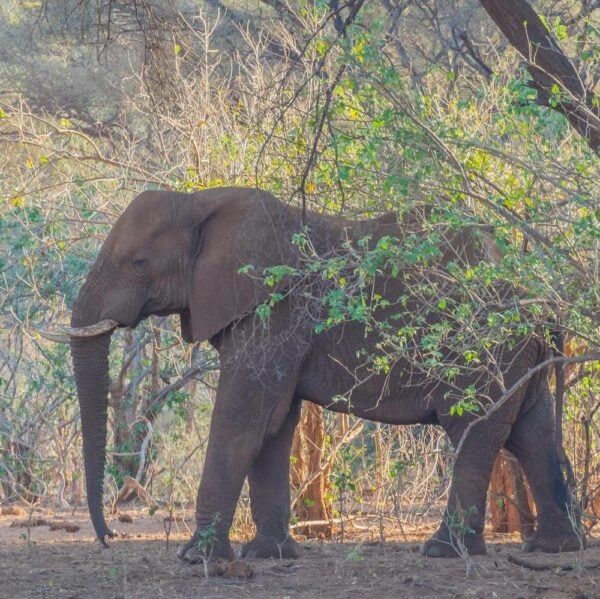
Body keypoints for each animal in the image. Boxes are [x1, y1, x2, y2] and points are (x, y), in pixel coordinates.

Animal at [52, 188, 580, 564]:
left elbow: (244, 421)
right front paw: (268, 556)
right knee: (531, 432)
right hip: (518, 358)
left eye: (138, 262)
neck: (201, 200)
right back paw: (551, 548)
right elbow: (273, 427)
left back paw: (443, 551)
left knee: (476, 429)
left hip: (485, 351)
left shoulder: (276, 312)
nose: (108, 537)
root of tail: (542, 302)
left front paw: (197, 559)